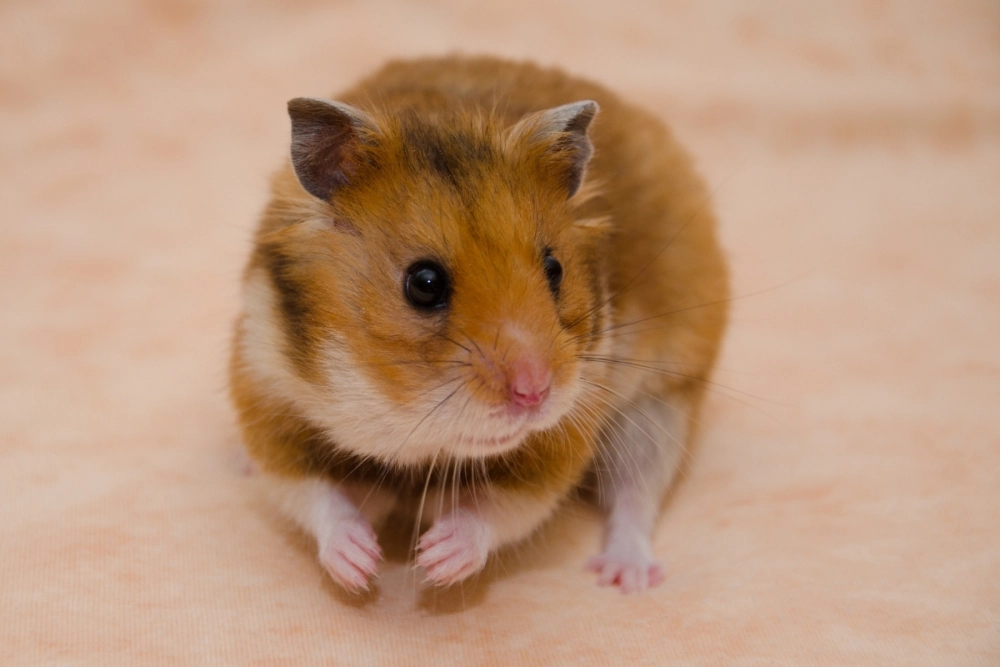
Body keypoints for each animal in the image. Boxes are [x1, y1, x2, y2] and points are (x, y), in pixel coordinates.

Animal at [229, 56, 728, 594]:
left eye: (554, 268)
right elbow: (315, 495)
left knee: (637, 493)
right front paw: (361, 566)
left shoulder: (562, 438)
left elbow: (499, 508)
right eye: (424, 283)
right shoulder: (269, 395)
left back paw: (626, 578)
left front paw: (435, 558)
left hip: (659, 405)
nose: (535, 393)